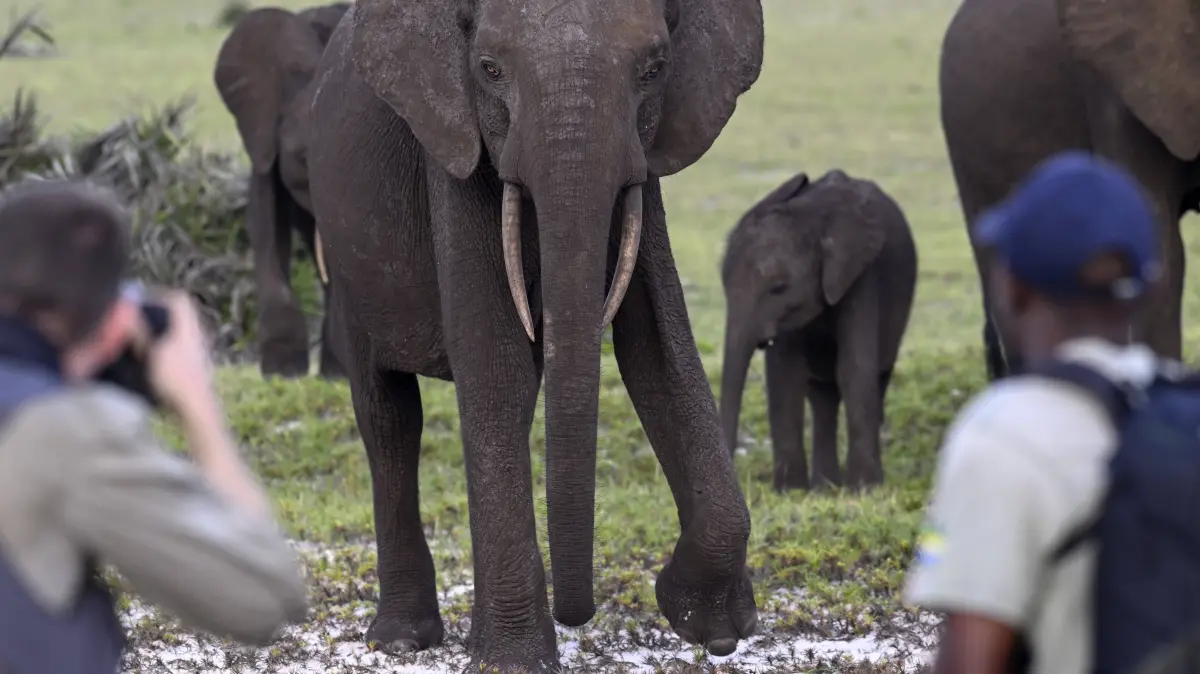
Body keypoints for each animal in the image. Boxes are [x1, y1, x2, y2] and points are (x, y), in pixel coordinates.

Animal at [305, 0, 764, 670]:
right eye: (490, 70)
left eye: (654, 69)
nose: (578, 615)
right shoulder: (454, 145)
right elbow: (496, 366)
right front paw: (513, 661)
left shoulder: (642, 167)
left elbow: (658, 351)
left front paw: (714, 627)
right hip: (345, 264)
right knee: (388, 416)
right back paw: (401, 639)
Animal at [717, 170, 917, 492]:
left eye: (778, 288)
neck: (811, 218)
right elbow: (784, 376)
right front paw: (789, 492)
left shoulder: (861, 276)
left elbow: (854, 368)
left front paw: (864, 490)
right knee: (821, 393)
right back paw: (825, 487)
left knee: (876, 376)